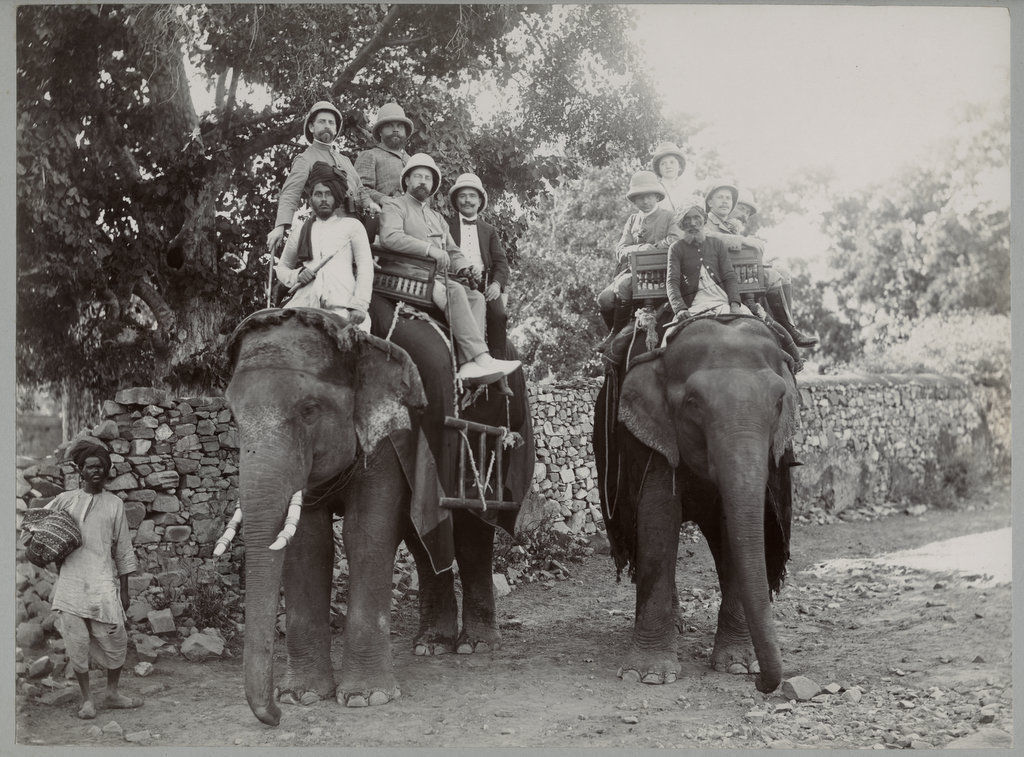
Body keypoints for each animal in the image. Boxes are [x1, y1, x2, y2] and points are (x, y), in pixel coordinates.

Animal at [225, 305, 536, 725]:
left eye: (309, 410)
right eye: (233, 416)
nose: (272, 717)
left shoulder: (394, 430)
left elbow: (364, 533)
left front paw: (364, 698)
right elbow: (308, 543)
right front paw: (301, 697)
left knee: (472, 533)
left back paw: (474, 647)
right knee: (421, 541)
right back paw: (431, 646)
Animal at [593, 311, 798, 692]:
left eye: (779, 402)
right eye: (693, 403)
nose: (764, 684)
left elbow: (735, 528)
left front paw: (739, 667)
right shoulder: (653, 437)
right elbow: (658, 518)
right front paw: (647, 675)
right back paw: (674, 627)